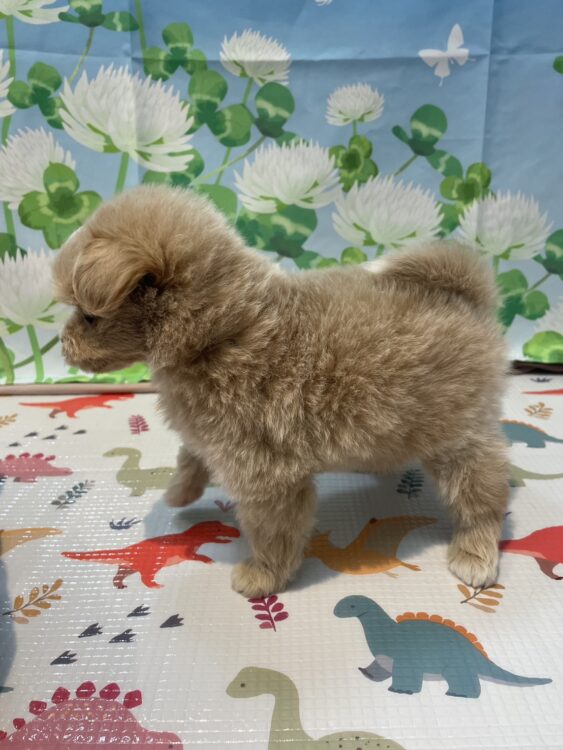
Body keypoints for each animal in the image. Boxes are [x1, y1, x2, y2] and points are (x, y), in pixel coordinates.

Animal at [53, 185, 508, 598]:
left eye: (89, 316)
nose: (62, 343)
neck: (220, 333)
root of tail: (464, 296)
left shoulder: (265, 476)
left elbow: (271, 533)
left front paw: (263, 576)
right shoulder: (208, 432)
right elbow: (189, 458)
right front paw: (179, 492)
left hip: (458, 435)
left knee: (482, 496)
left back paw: (474, 554)